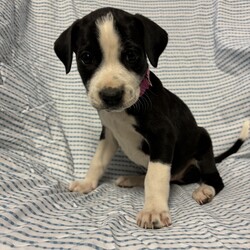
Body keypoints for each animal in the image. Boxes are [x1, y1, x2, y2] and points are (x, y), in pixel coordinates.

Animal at [54, 6, 248, 229]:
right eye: (86, 57)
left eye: (131, 55)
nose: (111, 96)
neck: (124, 111)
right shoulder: (109, 134)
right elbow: (98, 161)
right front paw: (87, 183)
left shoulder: (163, 135)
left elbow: (155, 177)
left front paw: (153, 210)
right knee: (161, 175)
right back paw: (132, 179)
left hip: (203, 140)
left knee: (213, 179)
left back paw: (205, 189)